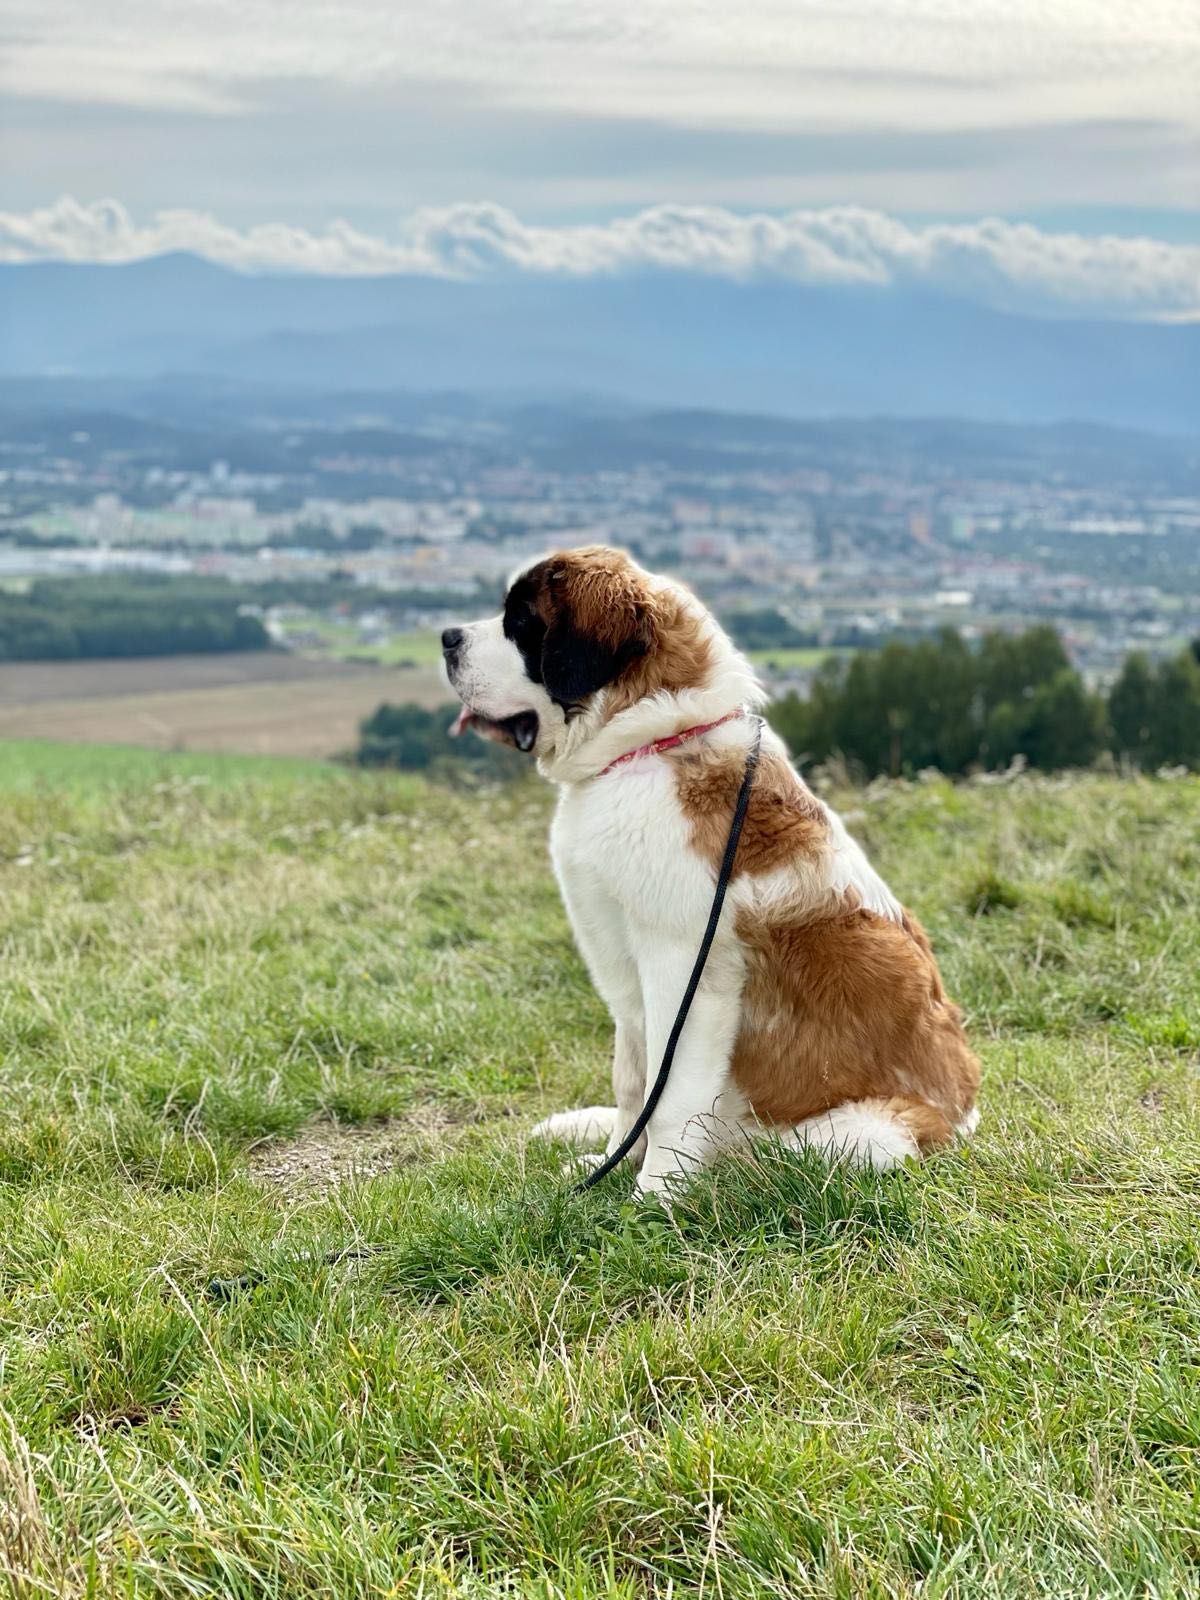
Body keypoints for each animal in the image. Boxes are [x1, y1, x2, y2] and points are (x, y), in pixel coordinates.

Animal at [448, 544, 979, 1196]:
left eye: (522, 622)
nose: (447, 637)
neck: (651, 741)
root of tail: (965, 1119)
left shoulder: (686, 972)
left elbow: (668, 1095)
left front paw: (653, 1196)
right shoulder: (630, 980)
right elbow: (633, 1083)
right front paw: (613, 1165)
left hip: (867, 1136)